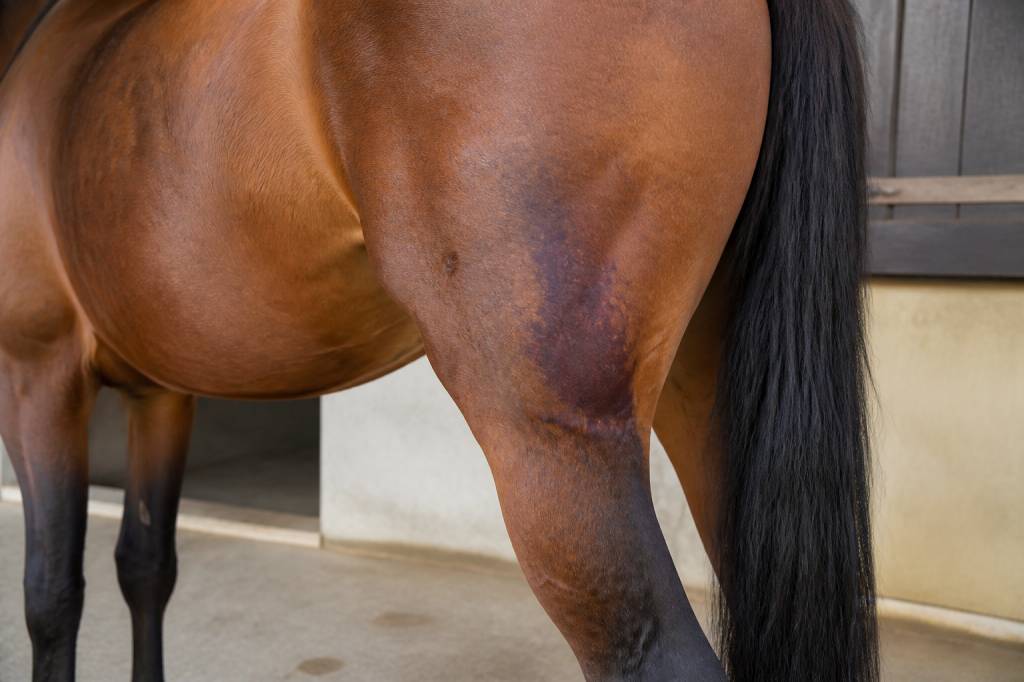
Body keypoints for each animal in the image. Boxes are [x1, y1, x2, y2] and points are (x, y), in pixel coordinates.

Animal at [0, 0, 877, 680]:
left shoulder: (36, 374)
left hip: (554, 448)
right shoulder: (161, 395)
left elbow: (51, 596)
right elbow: (146, 568)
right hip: (713, 407)